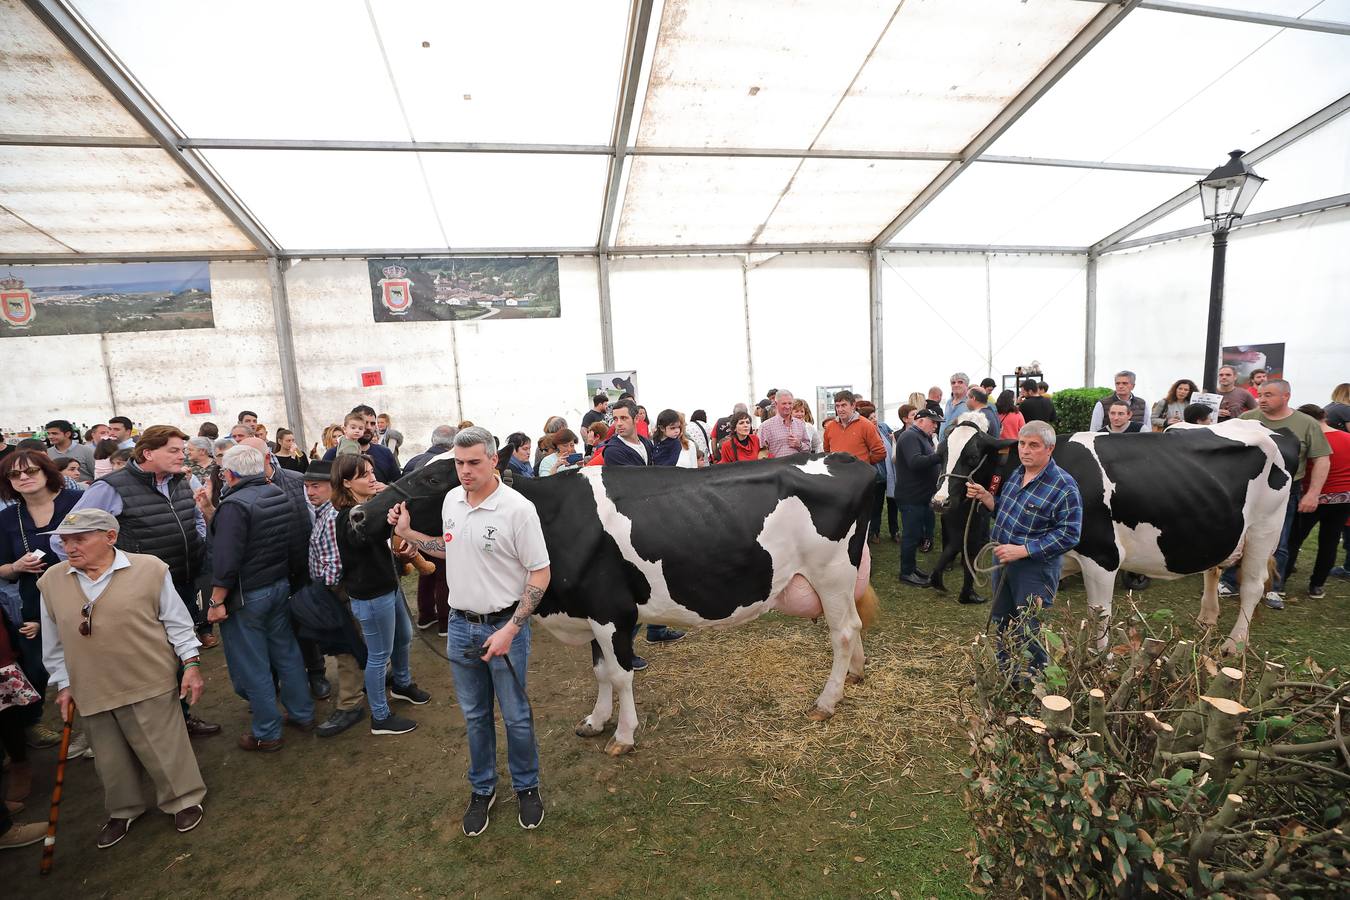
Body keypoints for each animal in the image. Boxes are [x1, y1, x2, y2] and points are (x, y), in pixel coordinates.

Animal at [351, 453, 874, 755]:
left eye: (433, 478)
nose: (357, 514)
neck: (548, 516)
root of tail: (849, 460)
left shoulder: (610, 611)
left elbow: (621, 675)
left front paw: (623, 735)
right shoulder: (588, 612)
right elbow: (600, 671)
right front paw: (595, 721)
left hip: (830, 572)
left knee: (843, 631)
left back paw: (826, 702)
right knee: (853, 627)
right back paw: (854, 677)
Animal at [928, 415, 1296, 655]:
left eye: (972, 456)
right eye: (940, 454)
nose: (939, 500)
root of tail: (1272, 429)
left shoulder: (1103, 557)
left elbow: (1098, 613)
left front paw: (1098, 664)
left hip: (1265, 528)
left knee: (1252, 585)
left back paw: (1234, 645)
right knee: (1214, 567)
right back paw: (1207, 621)